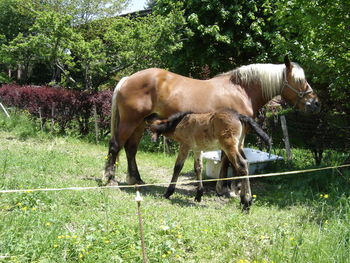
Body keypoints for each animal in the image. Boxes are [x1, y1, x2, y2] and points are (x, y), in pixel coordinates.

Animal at [103, 57, 320, 190]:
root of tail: (127, 79)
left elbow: (226, 159)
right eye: (300, 80)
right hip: (130, 122)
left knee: (130, 149)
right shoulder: (236, 134)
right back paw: (111, 180)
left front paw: (223, 187)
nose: (315, 103)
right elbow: (231, 159)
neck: (241, 90)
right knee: (116, 145)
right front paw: (230, 188)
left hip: (140, 124)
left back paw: (136, 179)